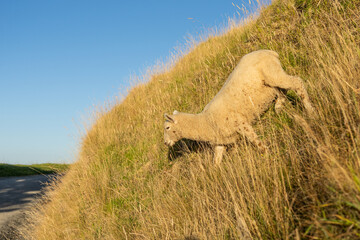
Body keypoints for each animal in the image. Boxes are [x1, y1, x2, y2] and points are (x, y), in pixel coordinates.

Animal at [164, 49, 316, 164]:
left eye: (167, 127)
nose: (166, 143)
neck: (205, 121)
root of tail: (270, 52)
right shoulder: (220, 143)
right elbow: (216, 161)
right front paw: (216, 175)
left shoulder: (240, 123)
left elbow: (255, 140)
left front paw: (267, 154)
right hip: (271, 81)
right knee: (283, 91)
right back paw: (279, 108)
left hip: (273, 73)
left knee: (297, 83)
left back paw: (310, 111)